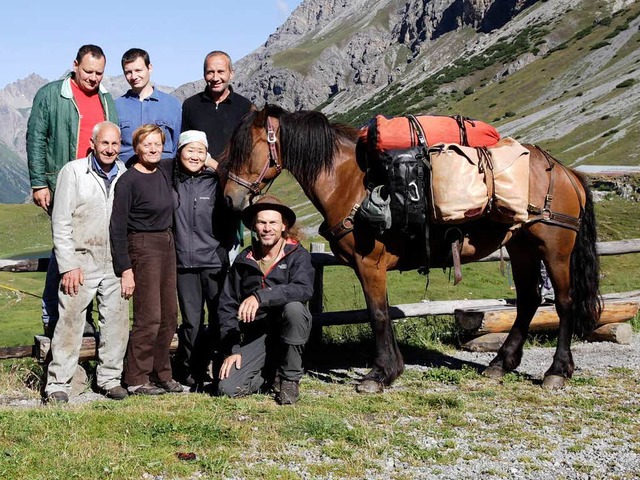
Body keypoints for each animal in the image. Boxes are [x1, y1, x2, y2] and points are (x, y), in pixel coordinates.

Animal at [222, 105, 604, 394]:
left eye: (248, 149)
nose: (230, 199)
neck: (349, 183)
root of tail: (566, 172)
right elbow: (383, 314)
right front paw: (392, 369)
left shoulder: (369, 265)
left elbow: (377, 315)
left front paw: (379, 374)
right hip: (523, 248)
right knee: (528, 301)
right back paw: (500, 364)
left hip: (554, 248)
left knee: (564, 302)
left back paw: (557, 371)